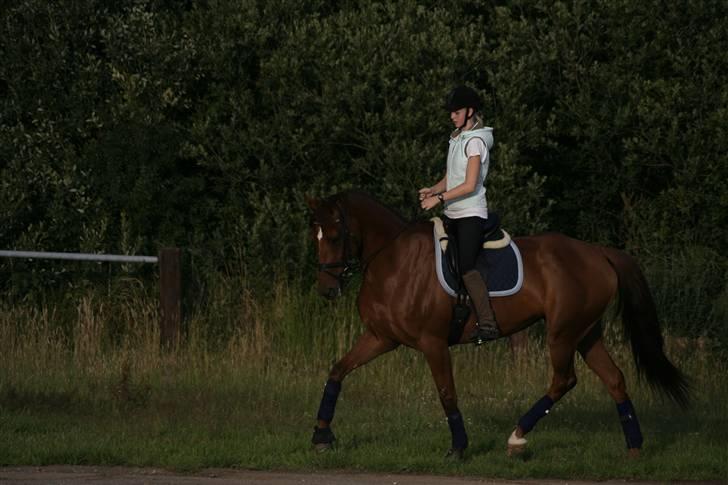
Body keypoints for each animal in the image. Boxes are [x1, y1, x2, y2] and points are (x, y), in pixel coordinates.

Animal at [306, 189, 688, 458]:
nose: (326, 290)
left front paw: (458, 447)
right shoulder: (381, 337)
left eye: (336, 236)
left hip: (562, 332)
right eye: (316, 237)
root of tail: (598, 252)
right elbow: (337, 371)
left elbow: (447, 393)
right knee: (615, 380)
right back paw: (634, 447)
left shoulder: (432, 342)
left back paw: (517, 438)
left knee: (564, 380)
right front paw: (322, 435)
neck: (393, 260)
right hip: (586, 332)